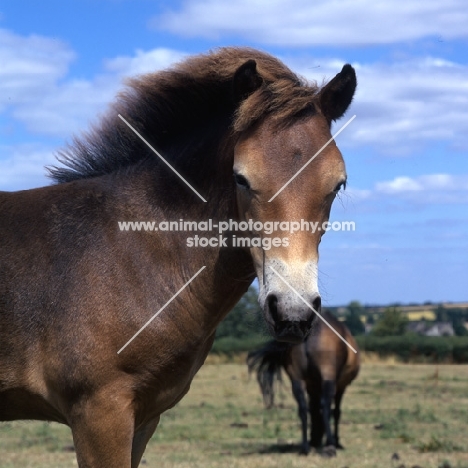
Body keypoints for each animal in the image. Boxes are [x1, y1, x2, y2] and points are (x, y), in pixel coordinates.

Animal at [247, 312, 360, 456]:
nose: (316, 440)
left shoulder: (311, 386)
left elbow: (313, 410)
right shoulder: (340, 386)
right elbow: (336, 412)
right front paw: (336, 442)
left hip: (297, 379)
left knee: (303, 408)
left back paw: (305, 447)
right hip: (328, 376)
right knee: (326, 406)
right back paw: (330, 446)